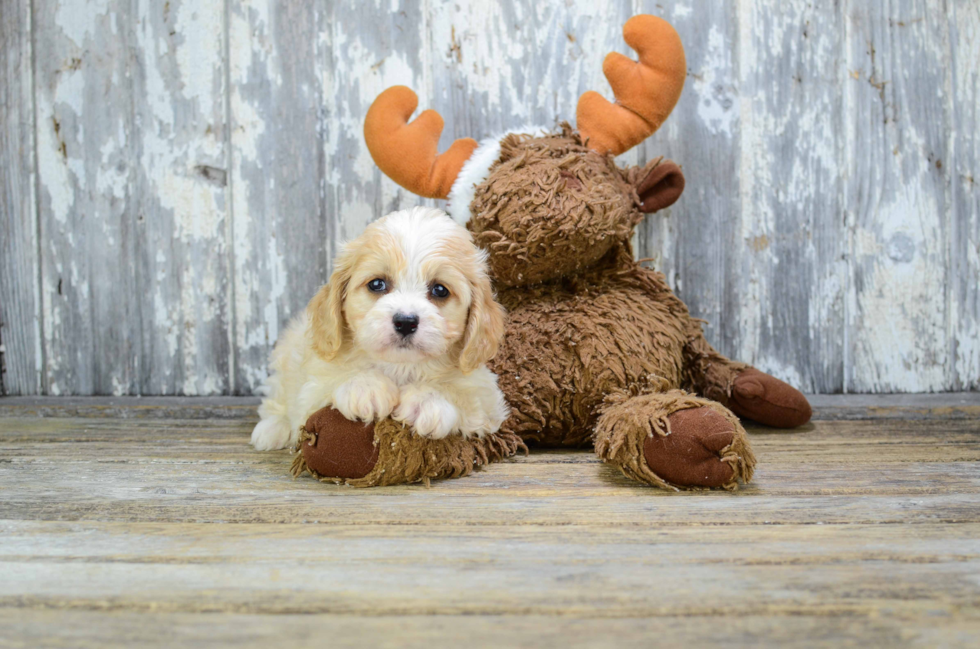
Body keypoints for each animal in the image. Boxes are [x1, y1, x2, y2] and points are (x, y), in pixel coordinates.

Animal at [249, 206, 510, 450]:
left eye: (440, 290)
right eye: (377, 284)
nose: (405, 321)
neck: (399, 367)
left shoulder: (487, 399)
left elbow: (465, 395)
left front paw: (427, 400)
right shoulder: (311, 388)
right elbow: (329, 380)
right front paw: (365, 387)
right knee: (277, 394)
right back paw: (272, 428)